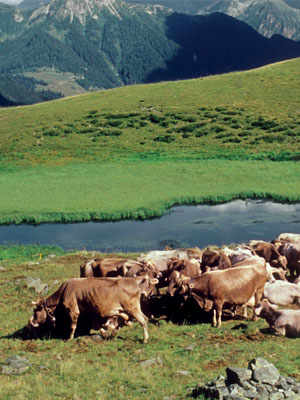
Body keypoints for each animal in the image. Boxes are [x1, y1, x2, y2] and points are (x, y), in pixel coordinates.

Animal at [27, 276, 157, 342]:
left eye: (36, 310)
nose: (31, 322)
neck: (64, 292)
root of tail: (133, 282)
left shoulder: (73, 310)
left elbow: (73, 325)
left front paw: (69, 338)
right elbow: (96, 324)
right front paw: (103, 332)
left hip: (132, 308)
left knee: (143, 320)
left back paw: (145, 339)